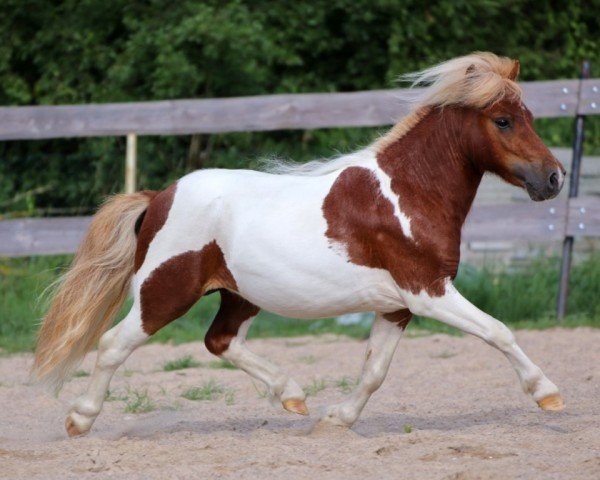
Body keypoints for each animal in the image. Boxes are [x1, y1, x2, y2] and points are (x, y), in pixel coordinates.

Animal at [31, 51, 568, 436]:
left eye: (529, 114)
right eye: (503, 120)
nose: (554, 178)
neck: (407, 194)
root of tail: (159, 197)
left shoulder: (397, 306)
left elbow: (374, 371)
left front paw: (336, 420)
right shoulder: (428, 292)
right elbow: (499, 331)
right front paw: (548, 393)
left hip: (238, 295)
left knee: (219, 341)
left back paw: (293, 395)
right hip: (164, 293)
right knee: (113, 344)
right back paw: (79, 419)